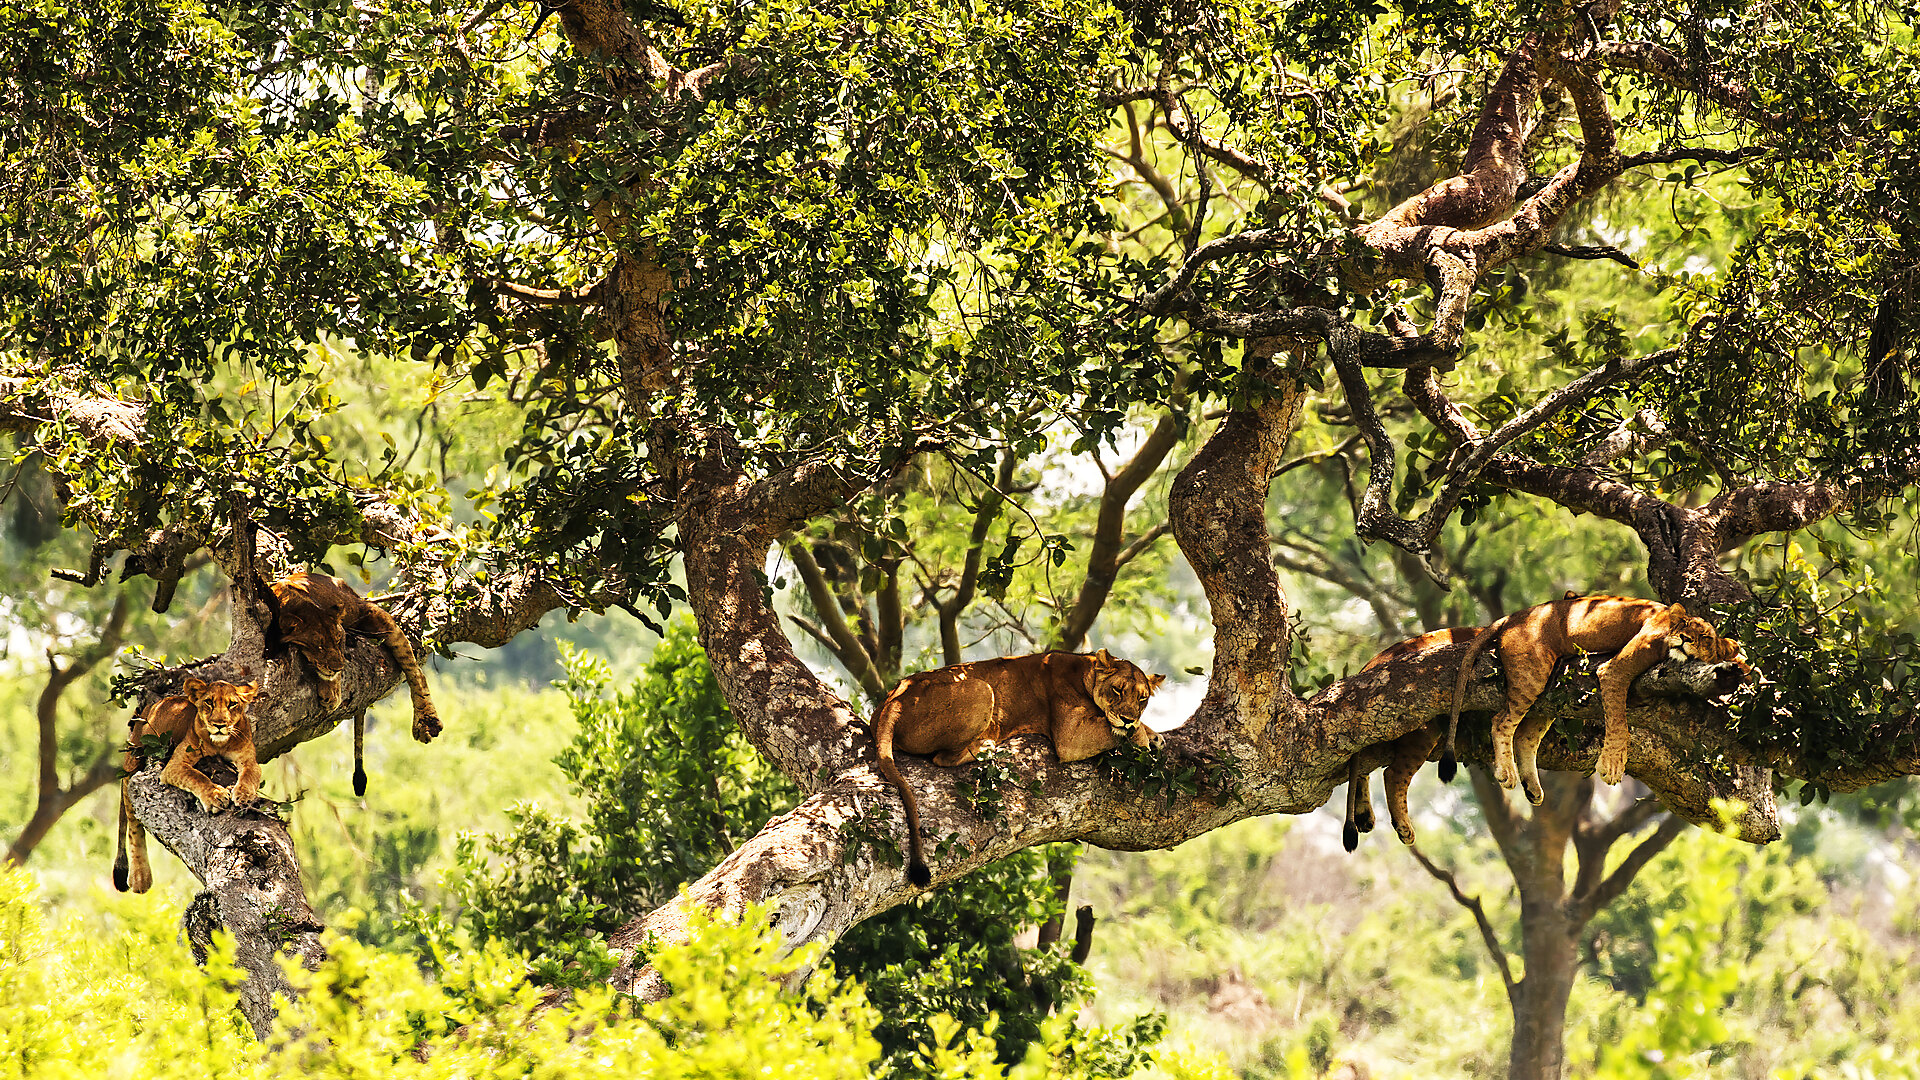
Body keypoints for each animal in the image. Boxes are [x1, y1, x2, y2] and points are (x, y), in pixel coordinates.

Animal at [113, 676, 262, 894]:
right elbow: (196, 776)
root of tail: (150, 706)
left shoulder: (249, 758)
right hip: (134, 760)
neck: (220, 743)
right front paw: (216, 796)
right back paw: (140, 877)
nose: (219, 724)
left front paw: (244, 795)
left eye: (232, 704)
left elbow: (251, 774)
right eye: (209, 702)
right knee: (132, 819)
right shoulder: (175, 765)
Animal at [268, 572, 440, 791]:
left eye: (337, 640)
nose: (338, 667)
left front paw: (332, 693)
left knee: (416, 672)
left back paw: (426, 722)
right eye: (319, 645)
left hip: (378, 618)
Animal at [874, 649, 1165, 886]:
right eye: (1117, 690)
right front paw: (1142, 737)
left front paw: (1153, 735)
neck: (1085, 670)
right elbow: (1115, 729)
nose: (1128, 718)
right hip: (981, 687)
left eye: (1142, 699)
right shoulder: (1071, 735)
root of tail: (893, 700)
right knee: (942, 758)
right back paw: (988, 745)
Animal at [1448, 594, 1748, 805]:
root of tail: (1512, 616)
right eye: (1682, 626)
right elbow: (1619, 722)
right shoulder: (1614, 670)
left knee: (1525, 736)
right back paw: (1506, 773)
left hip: (1548, 689)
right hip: (1531, 673)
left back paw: (1532, 789)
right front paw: (1612, 765)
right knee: (1501, 721)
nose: (1685, 638)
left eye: (1704, 636)